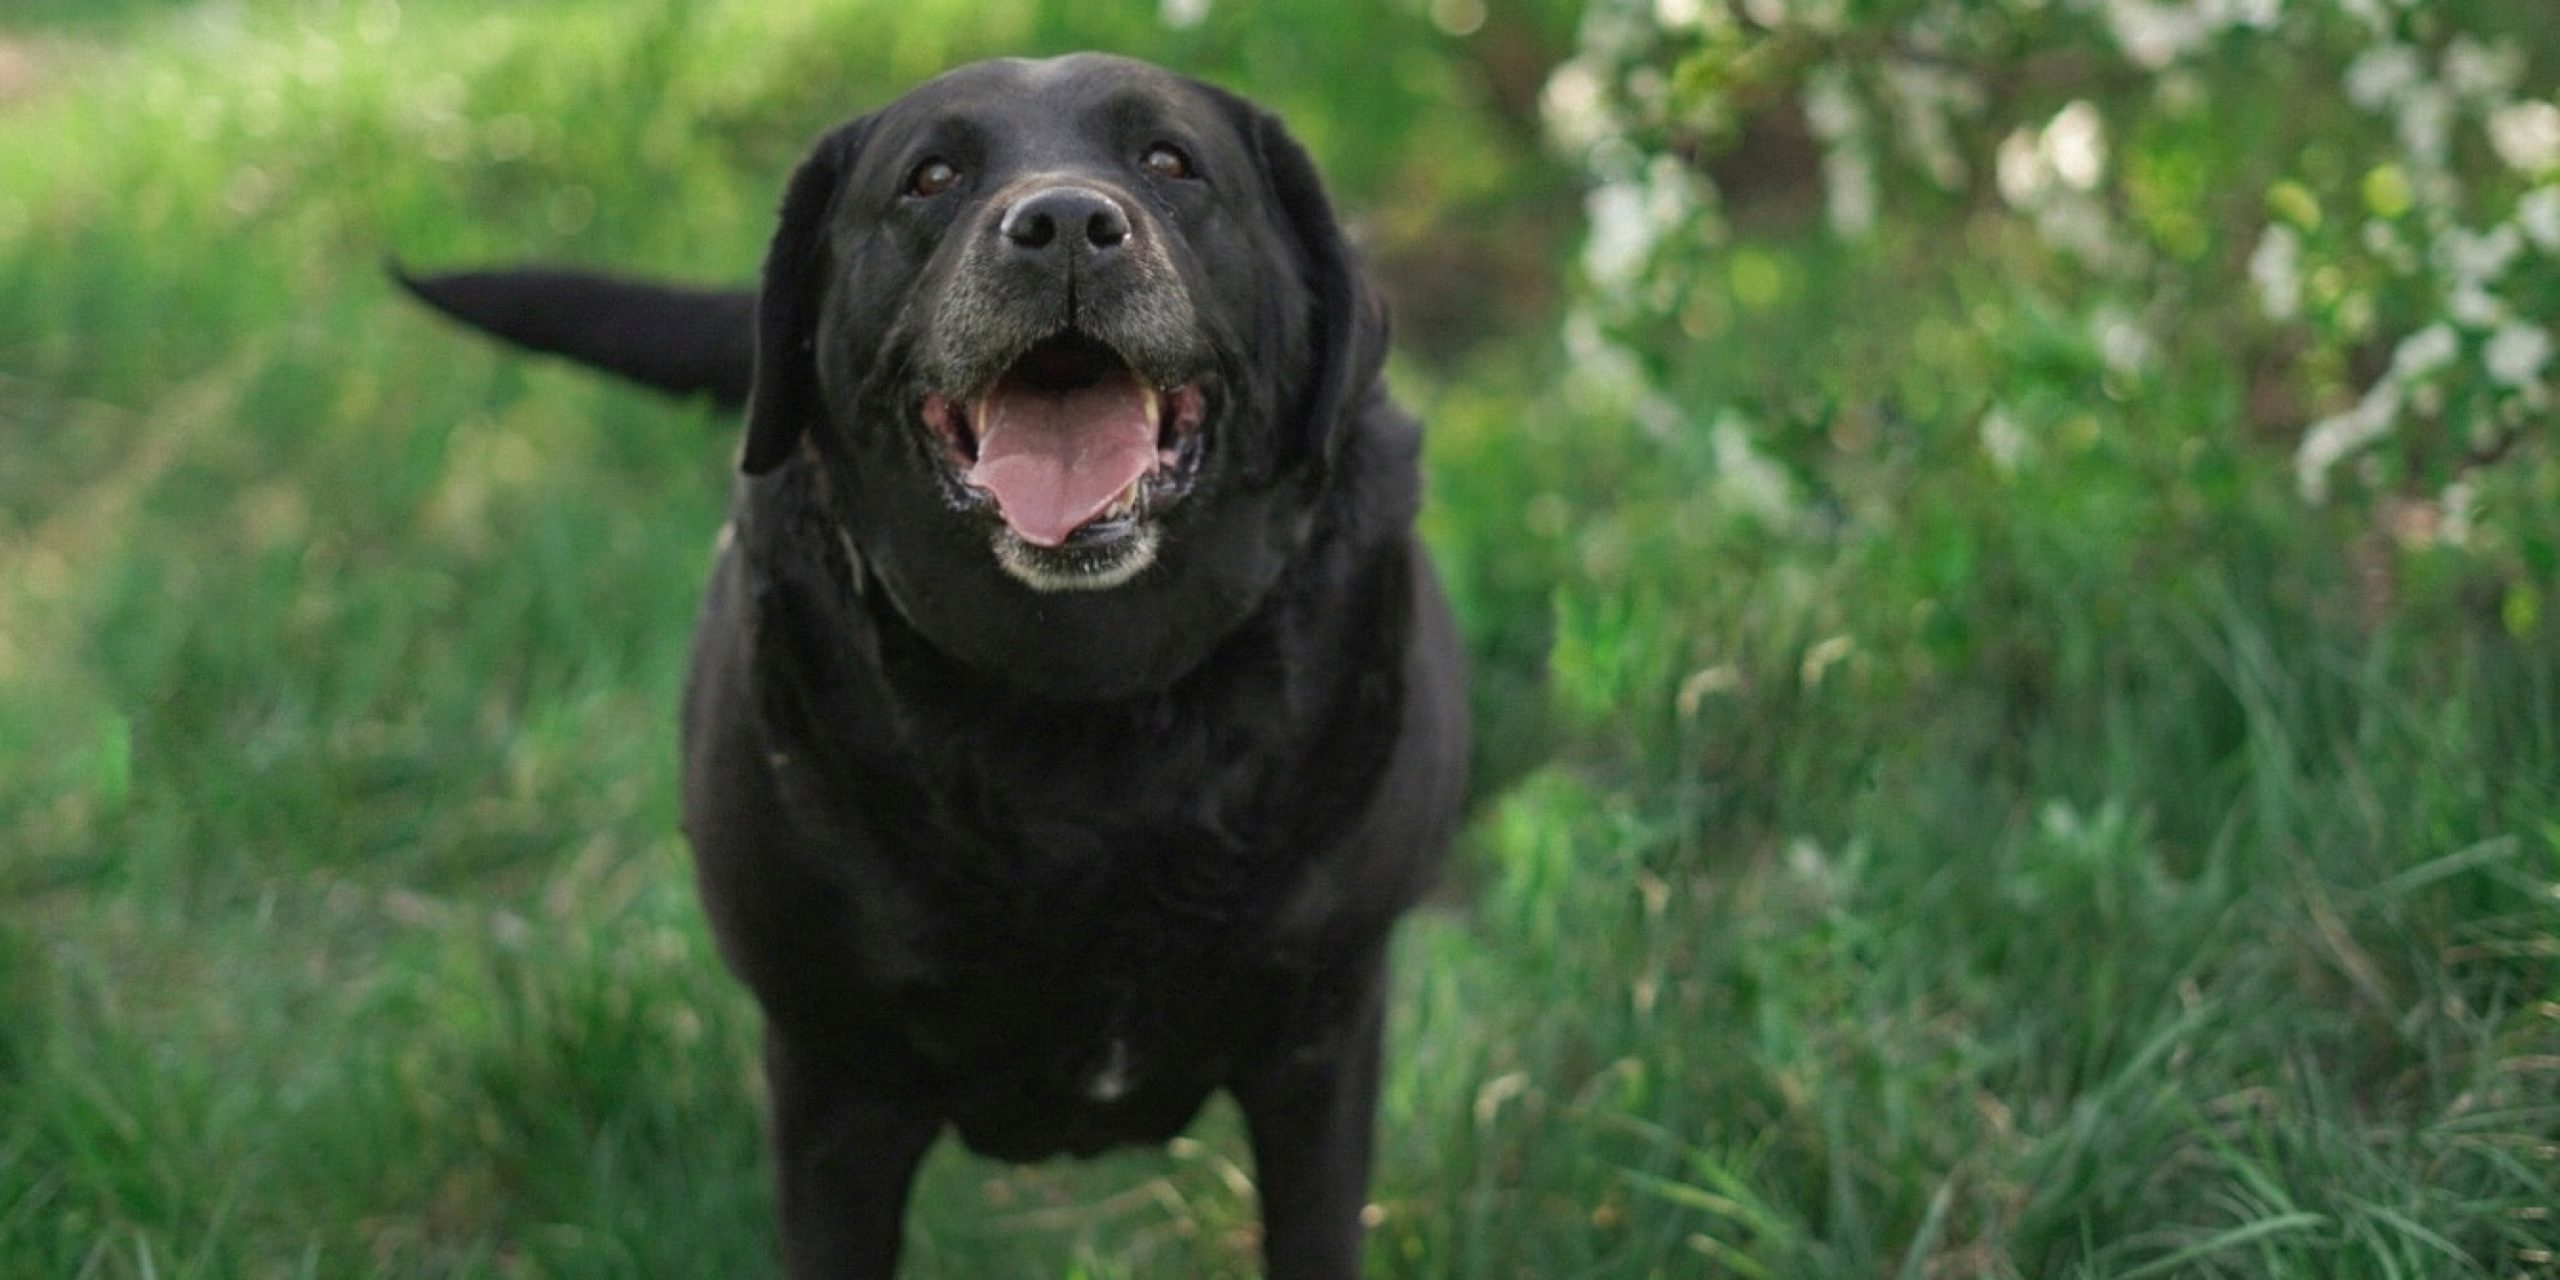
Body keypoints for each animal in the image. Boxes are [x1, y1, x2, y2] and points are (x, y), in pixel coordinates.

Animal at [409, 55, 1474, 1274]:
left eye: (1168, 161)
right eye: (929, 177)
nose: (1066, 224)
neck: (1082, 704)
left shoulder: (1322, 1040)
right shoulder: (834, 1079)